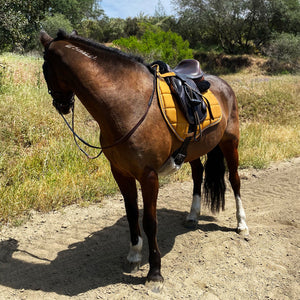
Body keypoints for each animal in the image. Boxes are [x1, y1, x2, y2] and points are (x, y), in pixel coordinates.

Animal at [39, 30, 248, 288]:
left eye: (44, 67)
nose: (62, 105)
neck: (127, 104)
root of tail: (223, 83)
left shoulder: (148, 176)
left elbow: (150, 221)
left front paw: (155, 271)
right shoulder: (121, 173)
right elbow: (131, 215)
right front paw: (134, 255)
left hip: (230, 143)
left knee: (235, 180)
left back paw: (241, 224)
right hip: (194, 150)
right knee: (198, 174)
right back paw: (192, 216)